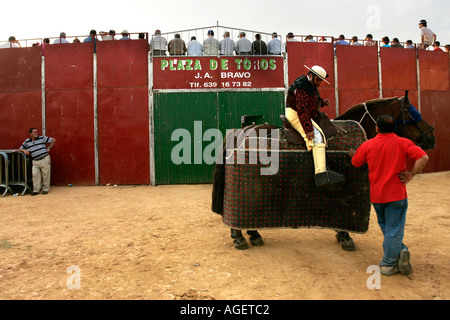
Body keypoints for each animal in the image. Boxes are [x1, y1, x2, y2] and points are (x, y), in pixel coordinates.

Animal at [211, 91, 436, 251]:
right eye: (413, 113)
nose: (431, 138)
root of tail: (238, 132)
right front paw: (345, 237)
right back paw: (240, 237)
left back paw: (253, 234)